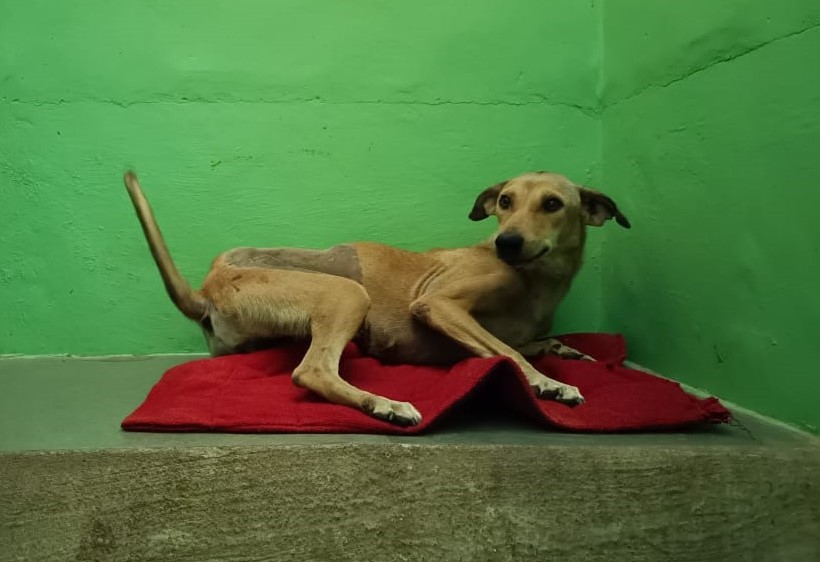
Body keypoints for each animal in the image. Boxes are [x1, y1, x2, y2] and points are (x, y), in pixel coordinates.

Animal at [125, 171, 632, 424]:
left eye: (553, 204)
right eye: (505, 201)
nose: (506, 243)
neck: (538, 282)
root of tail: (205, 287)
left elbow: (521, 343)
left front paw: (563, 350)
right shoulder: (436, 303)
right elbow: (507, 353)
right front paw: (548, 382)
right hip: (347, 292)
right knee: (311, 371)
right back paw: (383, 405)